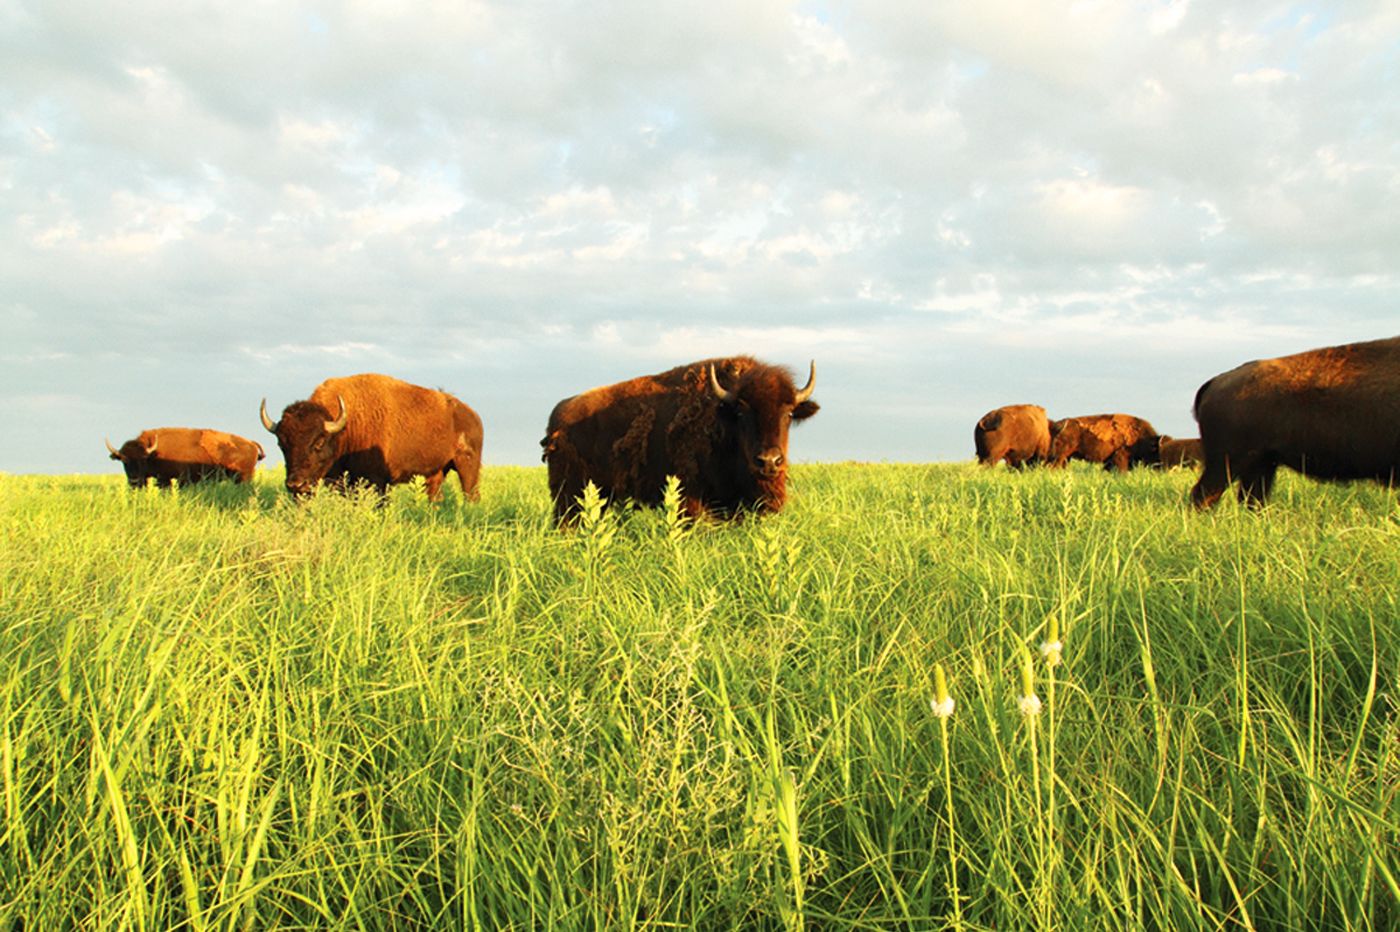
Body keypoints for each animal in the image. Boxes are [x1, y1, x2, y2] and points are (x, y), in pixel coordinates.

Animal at [105, 425, 263, 486]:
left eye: (143, 460)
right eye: (123, 460)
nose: (134, 480)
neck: (155, 452)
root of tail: (251, 443)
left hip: (244, 477)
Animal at [260, 369, 484, 500]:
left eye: (319, 441)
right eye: (281, 444)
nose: (296, 485)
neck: (347, 426)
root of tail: (473, 416)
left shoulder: (378, 481)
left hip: (467, 465)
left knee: (471, 495)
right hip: (436, 472)